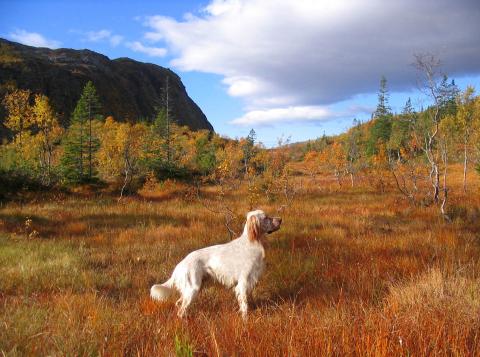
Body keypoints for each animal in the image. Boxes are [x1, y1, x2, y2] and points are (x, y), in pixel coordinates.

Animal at [151, 209, 282, 318]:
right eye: (266, 217)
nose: (281, 219)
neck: (252, 242)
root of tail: (180, 265)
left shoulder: (250, 281)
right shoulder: (243, 282)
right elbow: (244, 306)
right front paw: (245, 320)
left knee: (179, 304)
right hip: (193, 288)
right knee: (181, 310)